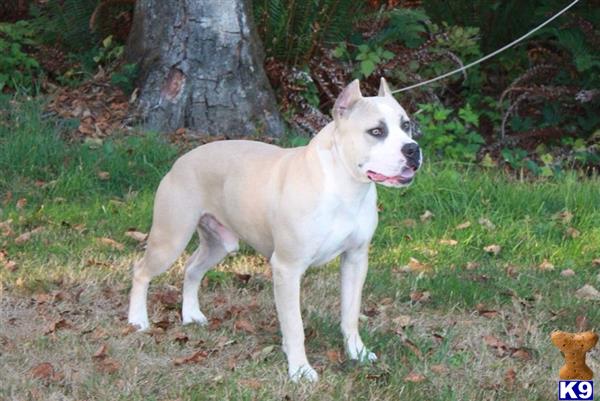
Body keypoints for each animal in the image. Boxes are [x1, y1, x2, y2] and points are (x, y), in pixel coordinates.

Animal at [127, 78, 422, 382]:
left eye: (406, 125)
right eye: (376, 131)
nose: (412, 149)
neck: (344, 185)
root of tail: (180, 160)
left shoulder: (355, 259)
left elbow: (350, 315)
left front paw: (357, 353)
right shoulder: (287, 268)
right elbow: (295, 326)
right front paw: (300, 369)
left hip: (219, 243)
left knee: (192, 269)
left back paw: (191, 315)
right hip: (170, 239)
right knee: (141, 271)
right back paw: (138, 320)